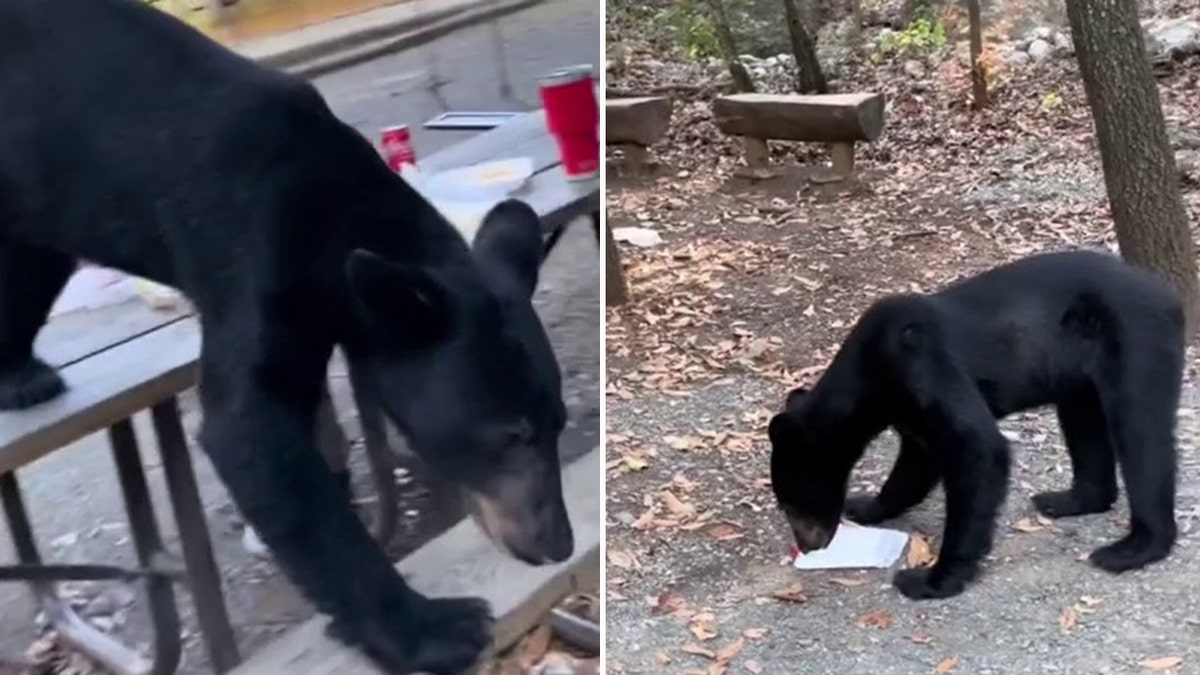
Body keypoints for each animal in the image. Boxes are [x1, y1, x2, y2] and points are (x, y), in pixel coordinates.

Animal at [0, 0, 576, 667]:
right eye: (510, 434)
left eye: (557, 423)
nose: (558, 544)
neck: (336, 215)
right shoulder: (252, 248)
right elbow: (250, 428)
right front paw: (432, 627)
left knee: (29, 267)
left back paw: (20, 374)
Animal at [768, 251, 1180, 598]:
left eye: (790, 503)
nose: (807, 544)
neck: (871, 377)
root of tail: (1167, 295)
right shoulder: (908, 409)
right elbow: (916, 461)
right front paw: (866, 505)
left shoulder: (923, 364)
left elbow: (977, 447)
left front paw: (931, 578)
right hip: (1078, 373)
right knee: (1083, 421)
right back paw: (1068, 499)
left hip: (1134, 341)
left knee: (1141, 434)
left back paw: (1130, 549)